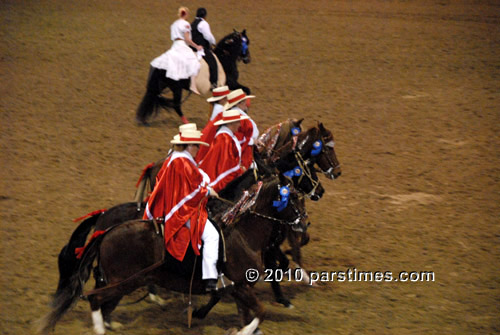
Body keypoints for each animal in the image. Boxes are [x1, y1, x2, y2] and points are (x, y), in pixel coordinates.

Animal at [38, 177, 304, 334]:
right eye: (293, 199)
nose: (304, 224)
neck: (243, 235)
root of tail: (107, 232)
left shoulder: (239, 290)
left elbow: (250, 317)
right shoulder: (239, 287)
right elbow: (259, 313)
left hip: (123, 282)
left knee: (103, 304)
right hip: (122, 282)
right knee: (95, 300)